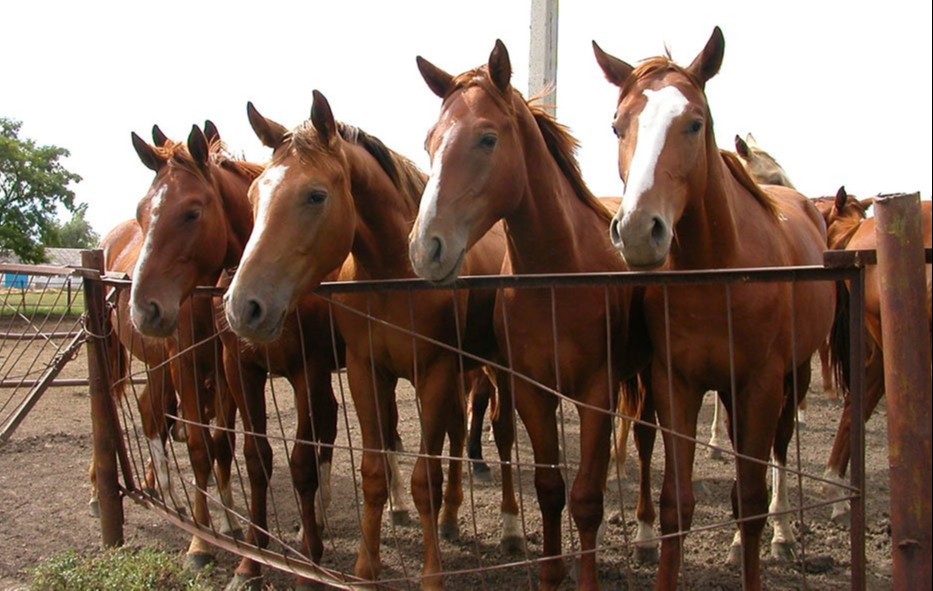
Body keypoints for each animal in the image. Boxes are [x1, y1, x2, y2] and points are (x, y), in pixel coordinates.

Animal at [127, 123, 350, 589]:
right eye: (141, 212)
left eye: (192, 213)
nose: (143, 309)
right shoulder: (238, 370)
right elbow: (250, 456)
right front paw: (246, 557)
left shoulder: (307, 370)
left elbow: (300, 461)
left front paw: (309, 564)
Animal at [223, 92, 516, 589]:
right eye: (253, 195)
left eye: (315, 195)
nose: (244, 306)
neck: (394, 277)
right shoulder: (366, 373)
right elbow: (374, 472)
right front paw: (365, 569)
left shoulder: (433, 374)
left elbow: (424, 480)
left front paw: (431, 575)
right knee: (460, 435)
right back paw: (451, 519)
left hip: (496, 369)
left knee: (502, 435)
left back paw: (510, 525)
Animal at [410, 41, 652, 590]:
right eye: (430, 142)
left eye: (487, 138)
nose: (424, 248)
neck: (559, 277)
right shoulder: (530, 391)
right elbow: (549, 487)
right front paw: (550, 571)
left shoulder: (597, 393)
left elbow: (586, 498)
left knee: (648, 443)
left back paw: (649, 537)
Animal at [594, 27, 835, 589]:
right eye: (617, 125)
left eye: (694, 122)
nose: (637, 231)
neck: (718, 273)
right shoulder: (675, 383)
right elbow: (675, 505)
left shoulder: (760, 385)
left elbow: (749, 499)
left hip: (793, 380)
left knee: (779, 453)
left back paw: (784, 536)